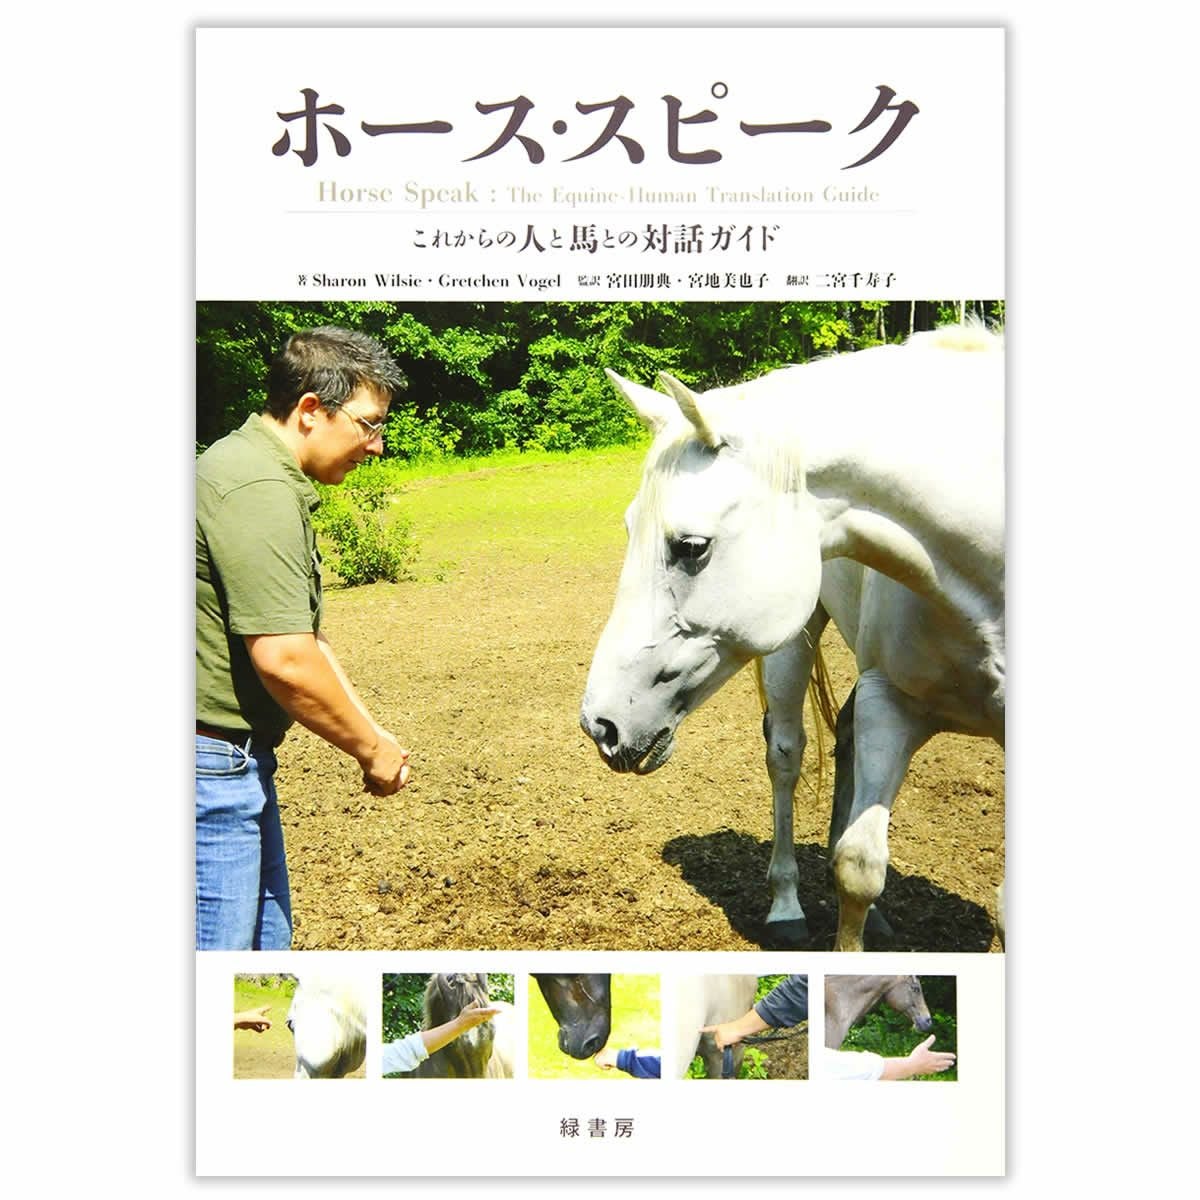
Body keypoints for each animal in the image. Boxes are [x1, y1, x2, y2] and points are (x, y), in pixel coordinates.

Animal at [580, 324, 1004, 951]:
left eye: (691, 546)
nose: (600, 724)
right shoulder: (891, 702)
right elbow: (858, 867)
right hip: (794, 645)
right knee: (786, 753)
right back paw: (787, 908)